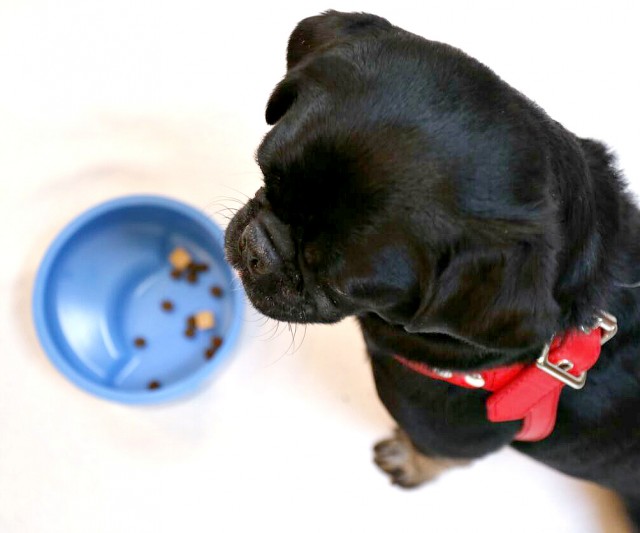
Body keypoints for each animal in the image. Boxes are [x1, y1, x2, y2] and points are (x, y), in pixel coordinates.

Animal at [226, 10, 640, 524]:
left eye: (340, 285)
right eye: (266, 174)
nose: (256, 249)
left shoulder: (451, 438)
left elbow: (435, 455)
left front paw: (408, 461)